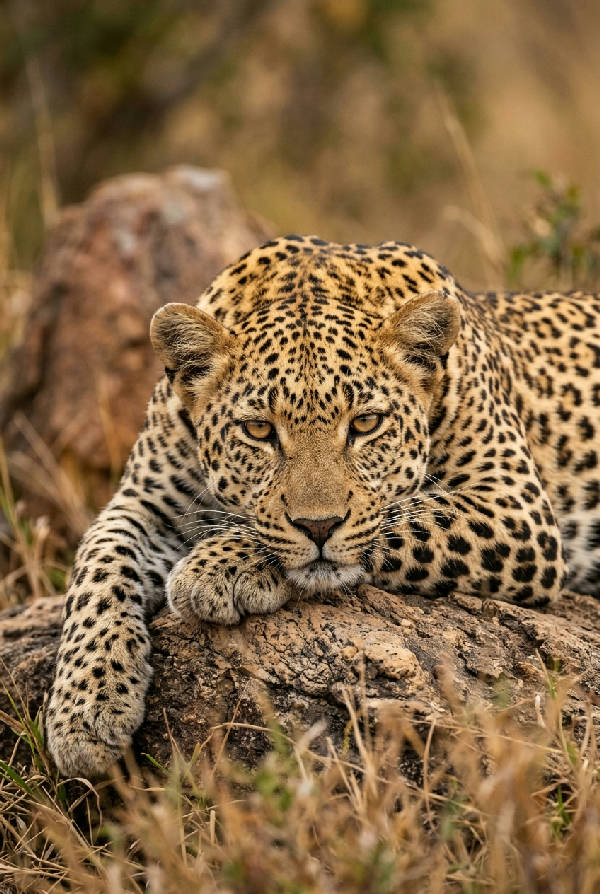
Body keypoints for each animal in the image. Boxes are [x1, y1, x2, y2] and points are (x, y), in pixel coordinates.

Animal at [46, 234, 600, 778]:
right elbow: (97, 568)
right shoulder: (142, 502)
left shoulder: (513, 502)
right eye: (259, 429)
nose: (319, 526)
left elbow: (403, 517)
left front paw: (214, 570)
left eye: (366, 424)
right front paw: (85, 711)